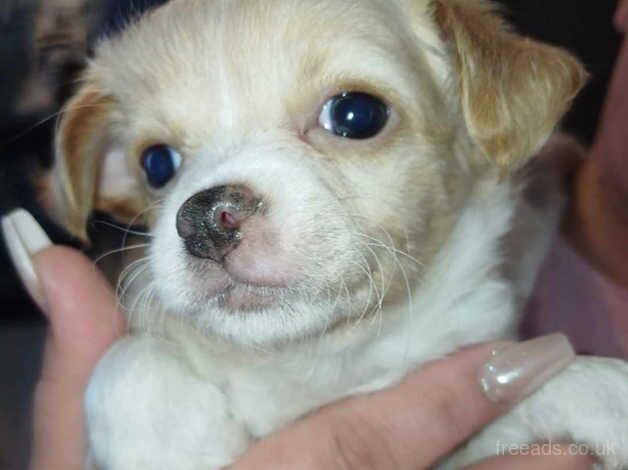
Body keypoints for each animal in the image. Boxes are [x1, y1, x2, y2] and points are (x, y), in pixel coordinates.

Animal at [41, 0, 628, 468]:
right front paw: (164, 440)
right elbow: (127, 360)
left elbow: (545, 380)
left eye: (356, 114)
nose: (205, 218)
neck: (311, 365)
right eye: (157, 164)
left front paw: (604, 394)